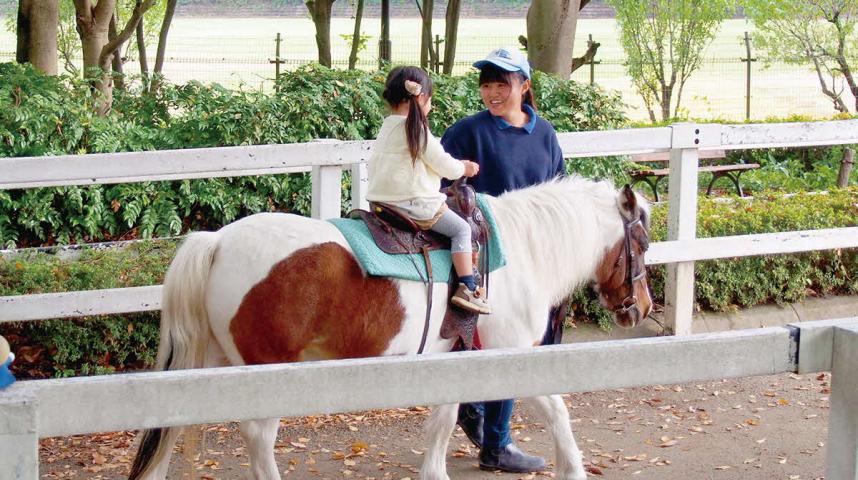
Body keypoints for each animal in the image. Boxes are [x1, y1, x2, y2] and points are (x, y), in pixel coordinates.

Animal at [125, 176, 648, 480]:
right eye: (641, 239)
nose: (640, 307)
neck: (516, 252)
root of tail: (218, 242)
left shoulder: (455, 358)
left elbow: (442, 421)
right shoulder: (512, 354)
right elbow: (558, 411)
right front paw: (574, 469)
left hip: (209, 364)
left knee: (171, 424)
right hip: (265, 372)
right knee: (258, 437)